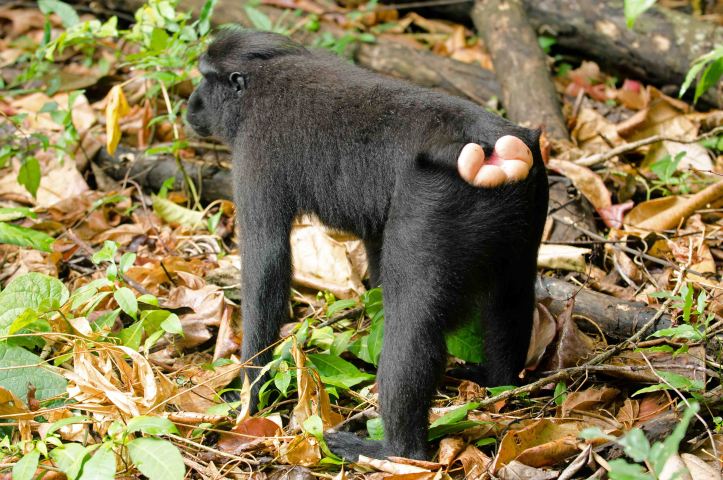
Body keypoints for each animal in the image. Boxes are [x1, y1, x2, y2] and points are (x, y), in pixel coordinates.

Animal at [186, 29, 549, 462]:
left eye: (205, 78)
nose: (190, 105)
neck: (266, 73)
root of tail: (490, 147)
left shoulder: (254, 151)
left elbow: (266, 266)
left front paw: (247, 396)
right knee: (512, 294)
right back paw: (500, 382)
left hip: (434, 207)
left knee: (412, 323)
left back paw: (392, 450)